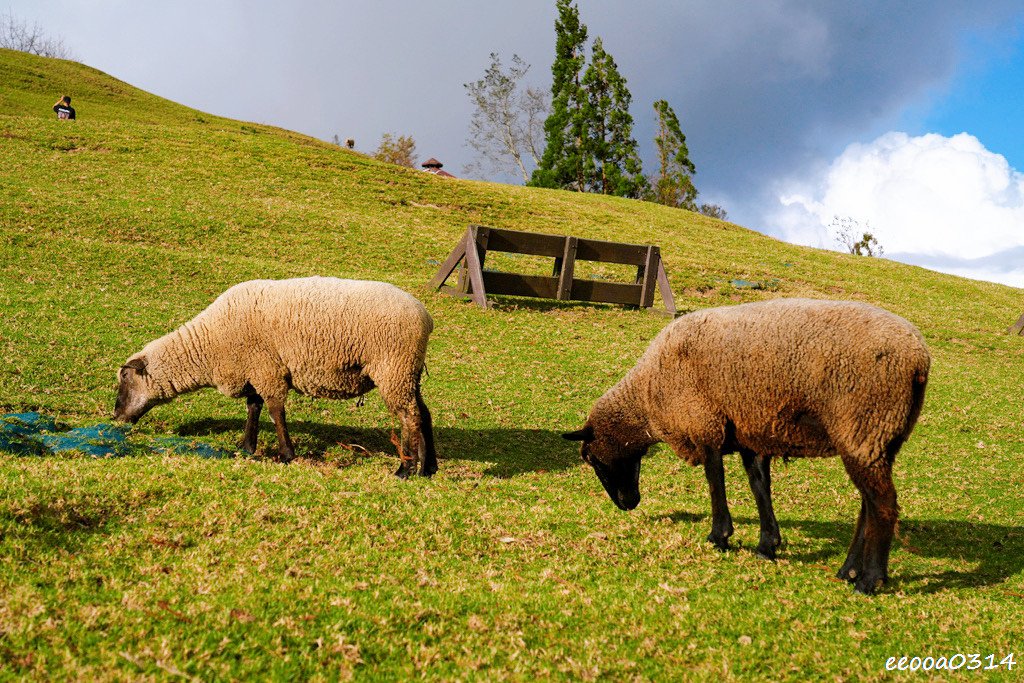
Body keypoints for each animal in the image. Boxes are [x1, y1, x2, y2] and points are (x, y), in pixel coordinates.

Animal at [114, 274, 438, 479]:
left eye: (125, 379)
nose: (115, 416)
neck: (210, 343)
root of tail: (426, 316)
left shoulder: (267, 369)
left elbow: (274, 411)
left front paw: (286, 454)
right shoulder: (255, 369)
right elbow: (254, 408)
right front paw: (246, 447)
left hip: (393, 367)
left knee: (408, 416)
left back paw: (405, 470)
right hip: (408, 371)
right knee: (423, 413)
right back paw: (428, 467)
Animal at [565, 299, 933, 593]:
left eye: (592, 460)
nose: (627, 504)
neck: (648, 395)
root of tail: (919, 360)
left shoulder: (705, 422)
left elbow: (715, 481)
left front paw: (719, 536)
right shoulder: (749, 433)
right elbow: (759, 487)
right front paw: (767, 545)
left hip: (865, 424)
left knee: (883, 506)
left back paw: (870, 580)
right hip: (877, 436)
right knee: (868, 505)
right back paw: (848, 570)